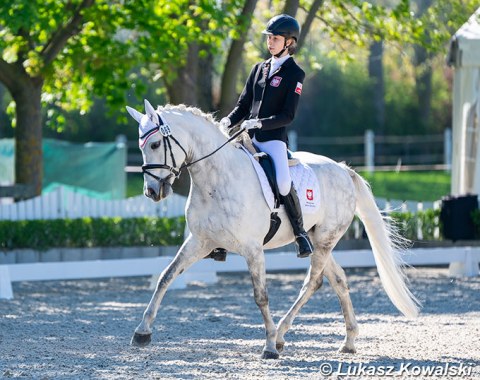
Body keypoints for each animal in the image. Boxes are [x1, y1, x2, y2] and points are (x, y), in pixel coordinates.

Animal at [125, 98, 418, 360]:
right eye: (141, 146)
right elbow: (166, 277)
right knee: (338, 280)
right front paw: (142, 332)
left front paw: (267, 346)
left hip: (325, 240)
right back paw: (347, 341)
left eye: (155, 144)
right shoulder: (199, 242)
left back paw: (279, 337)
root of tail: (344, 170)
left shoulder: (253, 249)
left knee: (312, 282)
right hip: (317, 239)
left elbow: (261, 296)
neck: (215, 179)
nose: (152, 192)